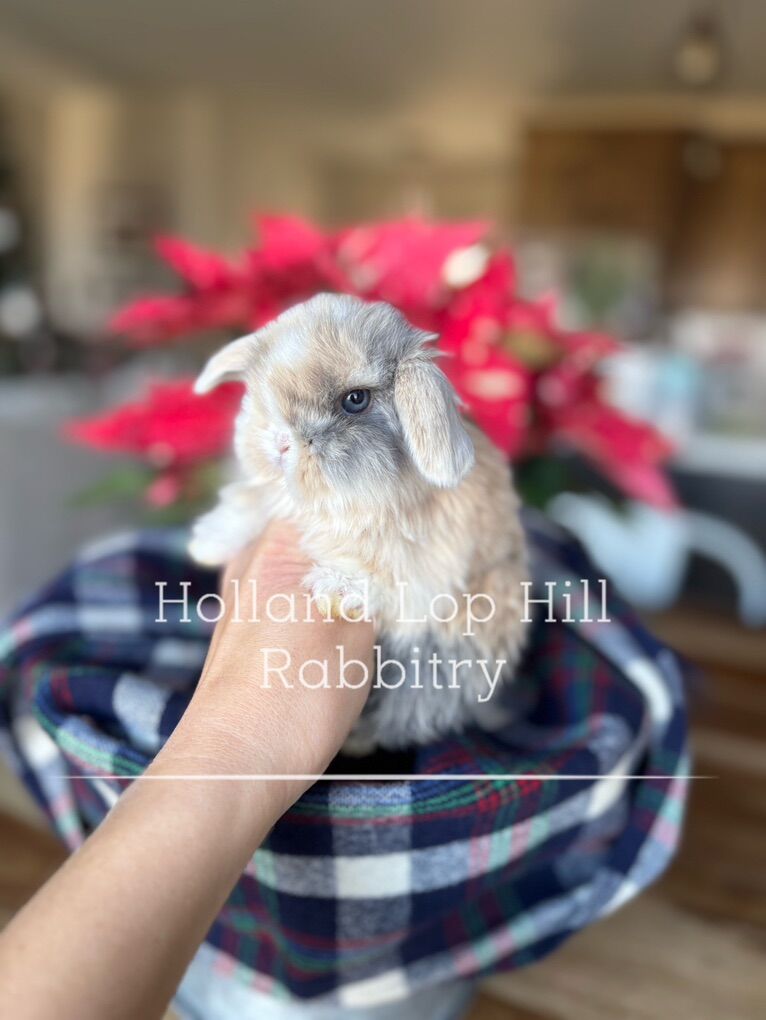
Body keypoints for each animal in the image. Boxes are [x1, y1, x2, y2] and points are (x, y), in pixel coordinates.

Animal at [189, 293, 529, 753]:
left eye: (355, 400)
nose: (279, 444)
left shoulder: (421, 571)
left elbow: (385, 581)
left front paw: (336, 590)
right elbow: (255, 503)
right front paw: (207, 542)